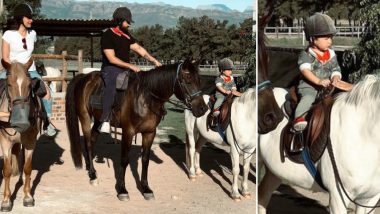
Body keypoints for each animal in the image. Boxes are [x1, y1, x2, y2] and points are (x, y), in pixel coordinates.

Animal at [0, 59, 43, 211]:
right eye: (9, 84)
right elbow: (6, 170)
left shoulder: (30, 142)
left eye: (29, 85)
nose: (21, 123)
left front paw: (28, 196)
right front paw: (6, 200)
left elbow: (27, 168)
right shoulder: (5, 142)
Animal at [65, 59, 208, 201]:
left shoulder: (149, 133)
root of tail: (84, 77)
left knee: (92, 140)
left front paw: (145, 188)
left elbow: (145, 160)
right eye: (188, 79)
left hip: (98, 120)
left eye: (199, 80)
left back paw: (90, 168)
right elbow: (124, 160)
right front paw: (122, 189)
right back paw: (93, 175)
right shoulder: (128, 132)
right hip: (85, 117)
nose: (203, 109)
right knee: (88, 142)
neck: (146, 99)